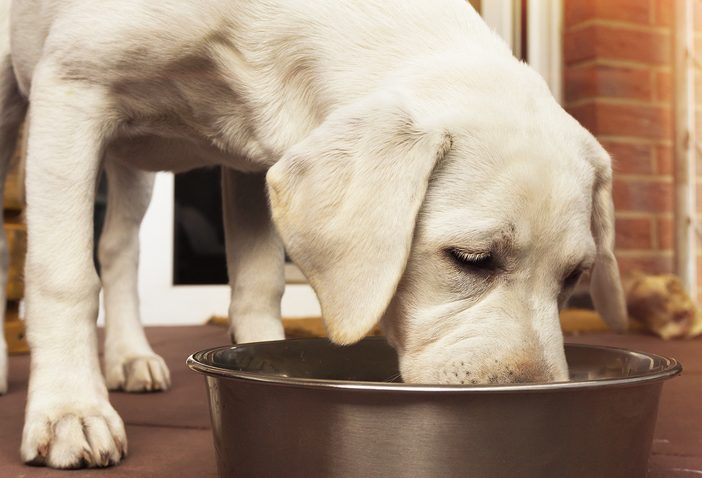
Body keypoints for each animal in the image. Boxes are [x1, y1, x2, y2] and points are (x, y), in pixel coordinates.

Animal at [0, 0, 628, 470]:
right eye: (471, 258)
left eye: (574, 278)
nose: (535, 397)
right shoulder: (72, 86)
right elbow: (63, 277)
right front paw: (69, 411)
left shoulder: (249, 159)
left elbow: (259, 286)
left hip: (131, 160)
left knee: (119, 247)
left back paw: (130, 356)